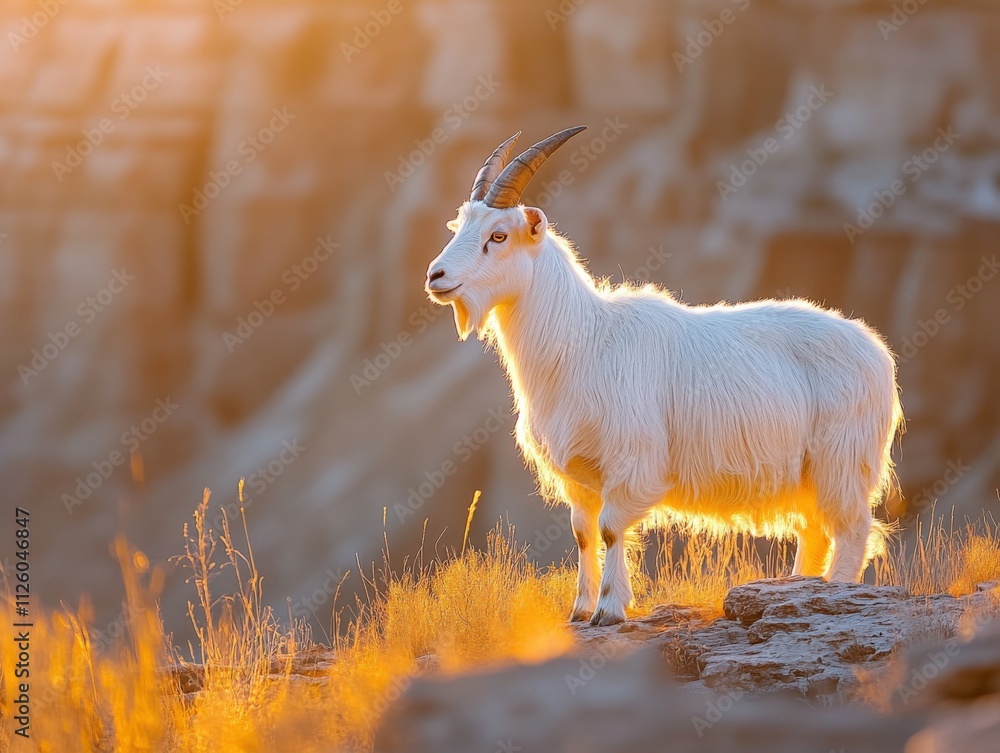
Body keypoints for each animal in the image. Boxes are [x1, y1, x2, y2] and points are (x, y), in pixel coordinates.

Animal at [425, 127, 903, 626]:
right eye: (459, 227)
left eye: (498, 235)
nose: (435, 276)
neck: (584, 341)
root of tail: (877, 352)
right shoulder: (580, 478)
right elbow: (583, 533)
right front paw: (580, 609)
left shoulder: (631, 461)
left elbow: (611, 529)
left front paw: (609, 609)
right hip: (810, 473)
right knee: (814, 531)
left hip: (842, 460)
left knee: (852, 529)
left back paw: (835, 590)